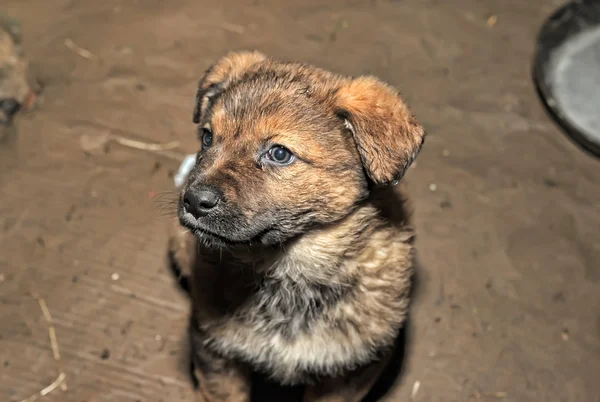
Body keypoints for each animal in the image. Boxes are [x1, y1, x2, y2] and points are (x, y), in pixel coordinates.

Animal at [166, 51, 424, 402]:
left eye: (279, 153)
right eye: (207, 137)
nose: (193, 201)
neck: (289, 270)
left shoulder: (350, 371)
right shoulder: (216, 354)